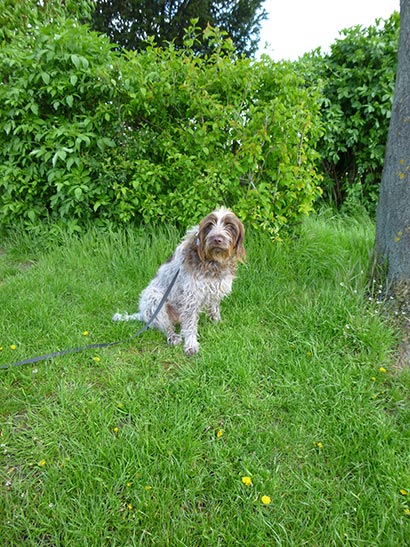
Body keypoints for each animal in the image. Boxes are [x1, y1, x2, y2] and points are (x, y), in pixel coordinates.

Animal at [112, 208, 245, 355]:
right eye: (210, 225)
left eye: (230, 226)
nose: (217, 239)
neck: (213, 262)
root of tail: (142, 315)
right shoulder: (191, 296)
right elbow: (190, 324)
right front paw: (191, 344)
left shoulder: (216, 288)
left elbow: (214, 308)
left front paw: (217, 322)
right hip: (153, 298)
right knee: (166, 326)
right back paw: (173, 337)